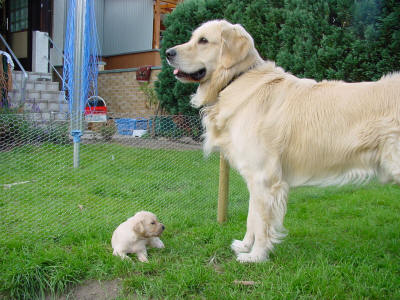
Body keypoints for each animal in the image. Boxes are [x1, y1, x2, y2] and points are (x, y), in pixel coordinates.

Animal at [166, 19, 400, 262]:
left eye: (203, 41)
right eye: (192, 38)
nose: (167, 53)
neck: (236, 79)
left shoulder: (264, 177)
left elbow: (262, 224)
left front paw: (256, 256)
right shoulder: (254, 177)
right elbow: (252, 217)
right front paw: (244, 245)